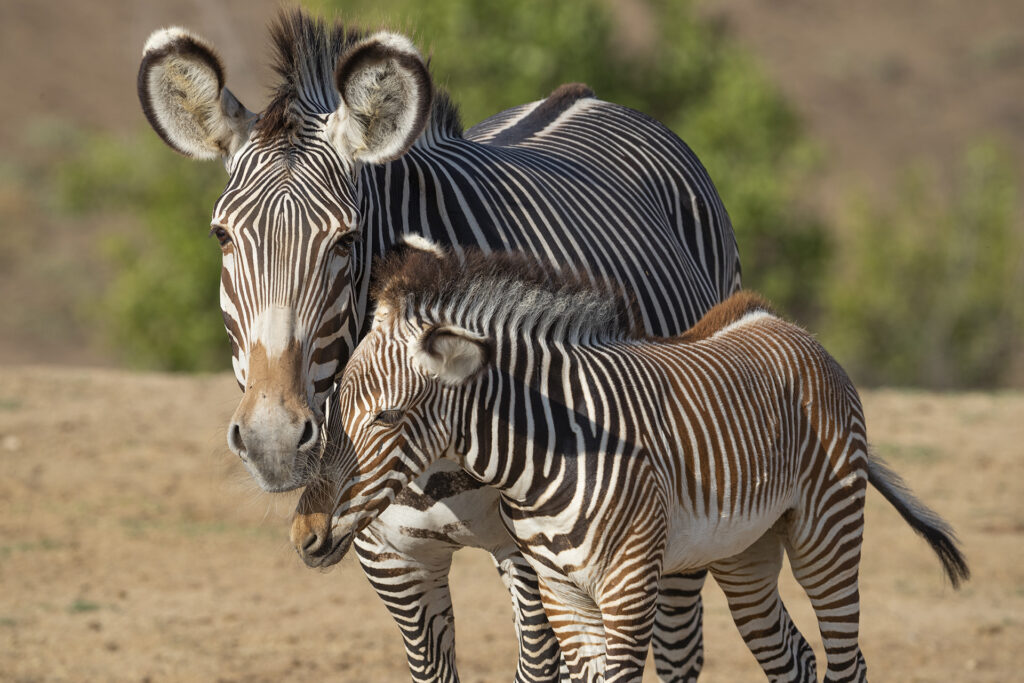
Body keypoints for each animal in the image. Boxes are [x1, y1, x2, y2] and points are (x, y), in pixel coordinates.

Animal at [140, 10, 741, 683]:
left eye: (347, 240)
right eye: (221, 236)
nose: (273, 439)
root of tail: (586, 96)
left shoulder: (532, 549)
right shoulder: (390, 558)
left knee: (680, 640)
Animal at [299, 246, 970, 683]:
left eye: (385, 417)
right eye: (334, 408)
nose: (304, 534)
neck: (549, 455)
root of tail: (779, 321)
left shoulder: (625, 588)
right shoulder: (562, 593)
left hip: (826, 532)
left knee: (847, 660)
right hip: (745, 552)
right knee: (797, 660)